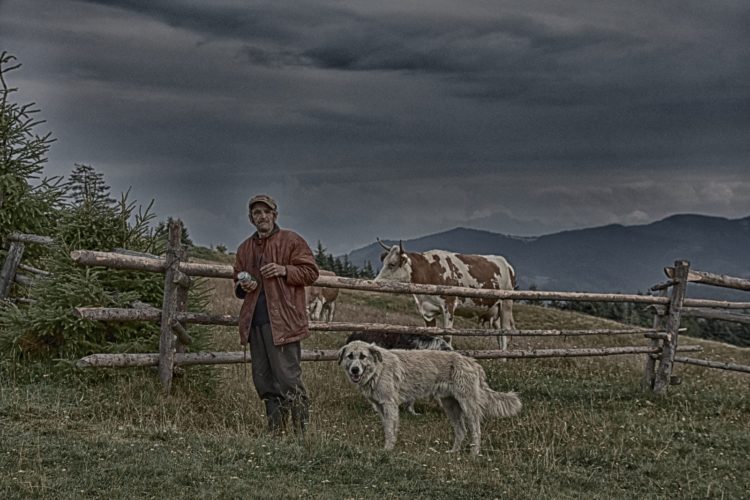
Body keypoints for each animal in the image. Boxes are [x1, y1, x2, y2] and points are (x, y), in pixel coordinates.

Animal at [338, 342, 520, 456]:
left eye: (362, 356)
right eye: (350, 356)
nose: (354, 370)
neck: (378, 369)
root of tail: (473, 362)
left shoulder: (389, 405)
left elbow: (389, 430)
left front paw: (387, 450)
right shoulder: (381, 408)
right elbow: (389, 429)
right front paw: (390, 447)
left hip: (468, 407)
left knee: (476, 431)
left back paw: (473, 454)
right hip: (451, 407)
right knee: (461, 431)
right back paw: (454, 452)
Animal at [376, 240, 516, 350]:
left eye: (392, 264)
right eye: (384, 262)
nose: (376, 281)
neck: (428, 271)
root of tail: (506, 263)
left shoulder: (449, 305)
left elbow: (447, 336)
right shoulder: (427, 311)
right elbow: (430, 335)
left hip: (506, 304)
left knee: (505, 333)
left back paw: (504, 359)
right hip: (494, 310)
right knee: (499, 334)